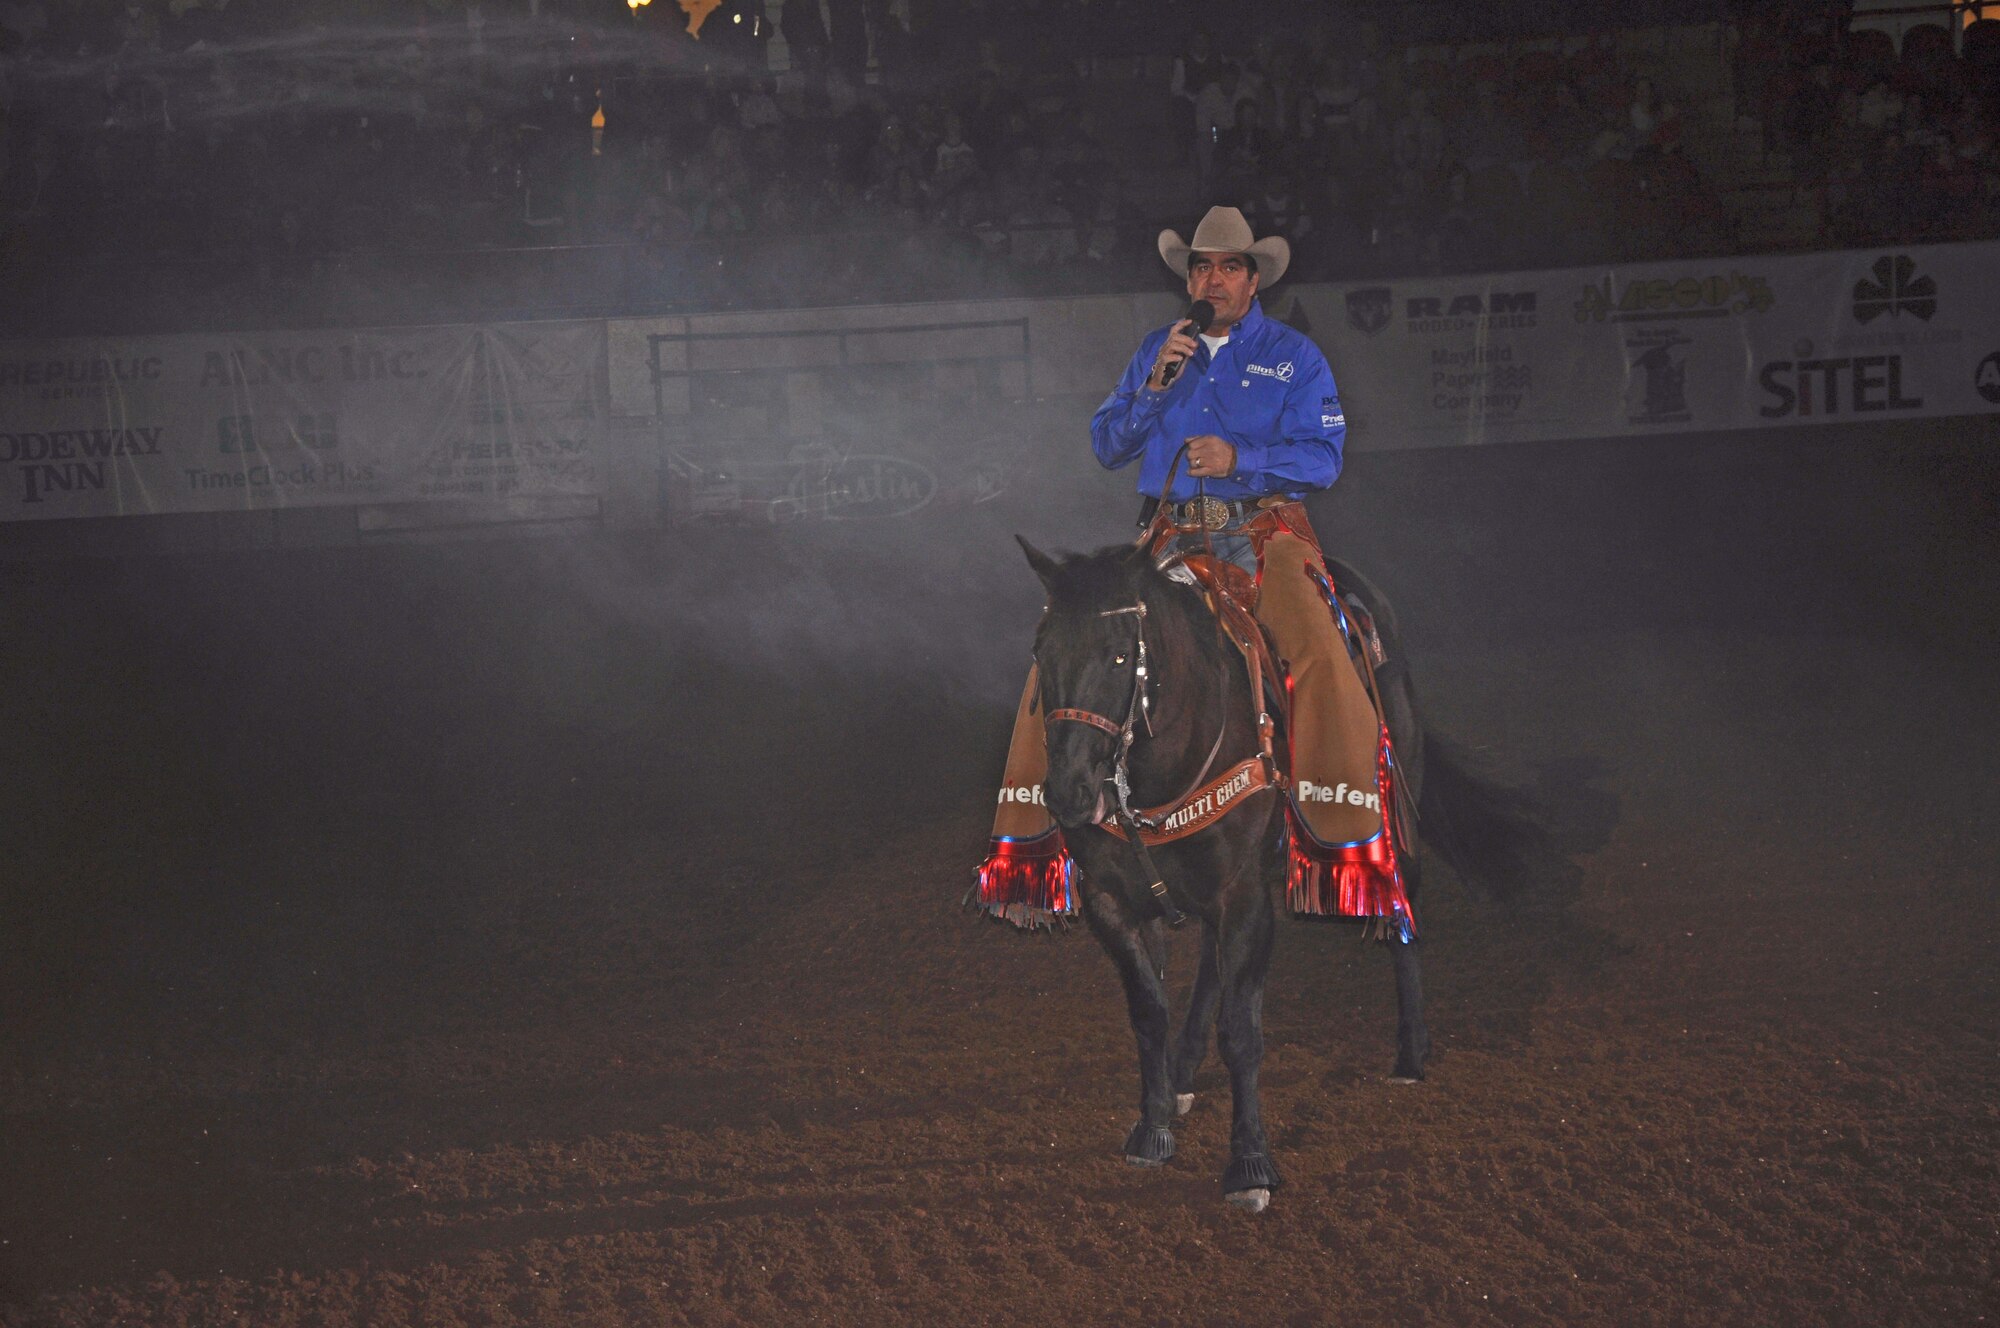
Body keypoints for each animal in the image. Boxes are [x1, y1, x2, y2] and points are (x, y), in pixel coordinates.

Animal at [1032, 540, 1456, 1216]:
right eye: (1041, 653)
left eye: (1120, 654)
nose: (1068, 793)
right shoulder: (1113, 902)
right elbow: (1149, 1011)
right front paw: (1153, 1126)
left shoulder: (1249, 898)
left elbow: (1242, 1032)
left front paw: (1250, 1164)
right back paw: (1183, 1072)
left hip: (1395, 818)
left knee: (1401, 912)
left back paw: (1411, 1051)